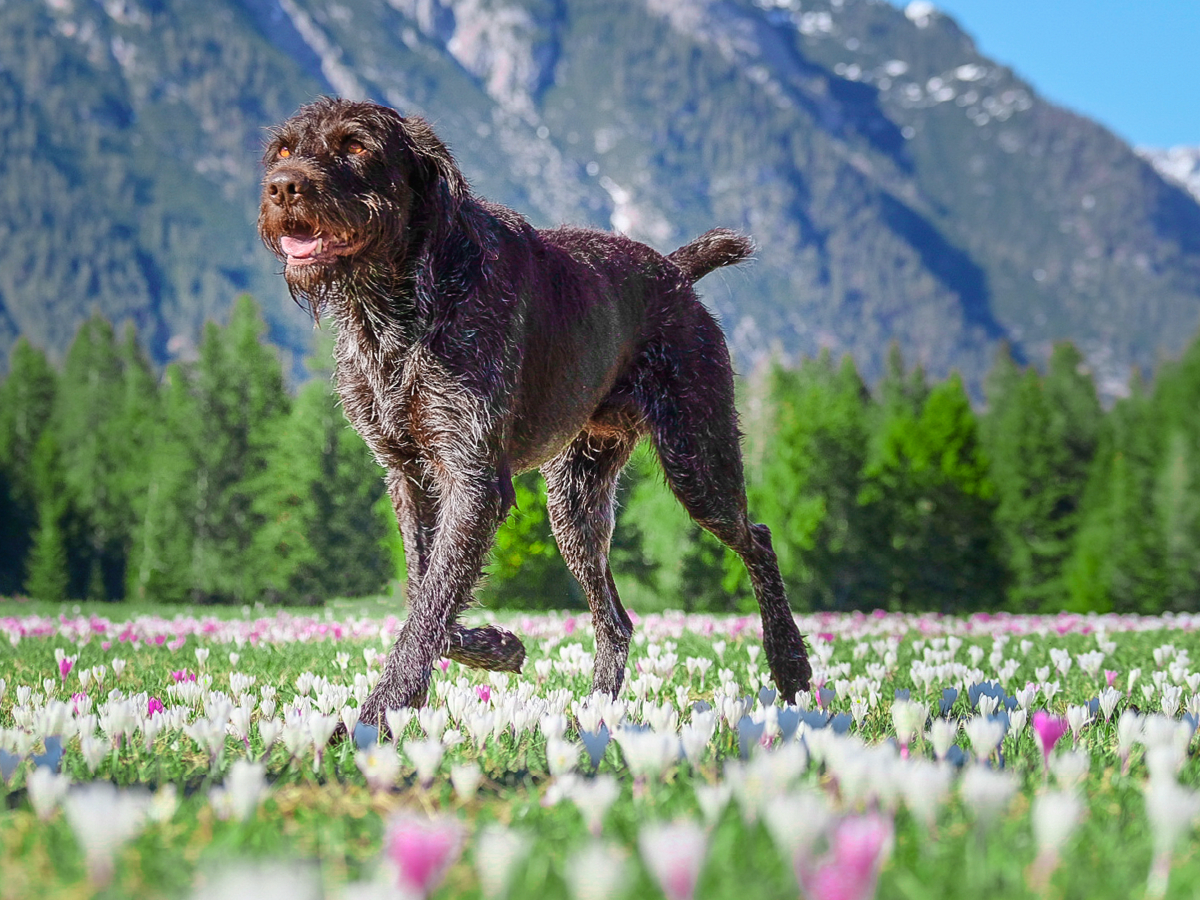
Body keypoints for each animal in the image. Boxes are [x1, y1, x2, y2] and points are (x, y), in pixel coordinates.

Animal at [258, 98, 811, 729]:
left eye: (355, 146)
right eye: (283, 149)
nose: (282, 186)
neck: (391, 306)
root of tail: (674, 273)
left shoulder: (472, 478)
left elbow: (428, 610)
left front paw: (378, 715)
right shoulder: (408, 475)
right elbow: (425, 593)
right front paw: (496, 647)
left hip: (698, 465)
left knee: (758, 539)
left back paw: (791, 665)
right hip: (576, 504)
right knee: (616, 622)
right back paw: (595, 713)